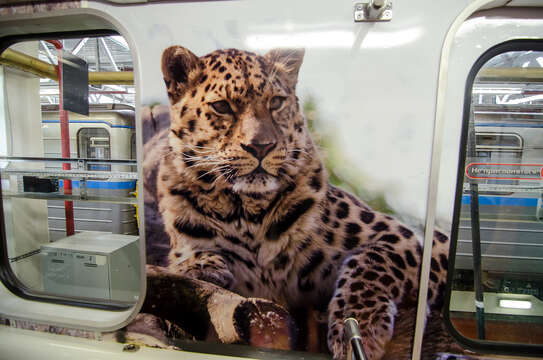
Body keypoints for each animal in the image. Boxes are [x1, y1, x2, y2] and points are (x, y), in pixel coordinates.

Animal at [154, 45, 450, 360]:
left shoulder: (413, 239)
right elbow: (184, 271)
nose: (261, 146)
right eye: (222, 107)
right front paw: (201, 267)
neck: (248, 212)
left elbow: (373, 259)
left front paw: (360, 325)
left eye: (276, 102)